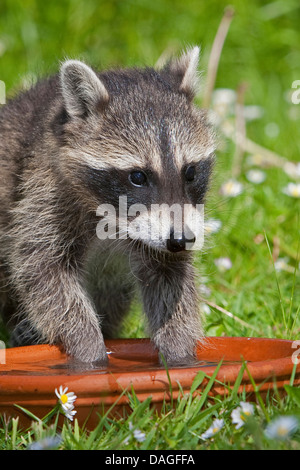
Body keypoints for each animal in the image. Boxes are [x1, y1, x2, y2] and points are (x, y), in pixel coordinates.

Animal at [0, 46, 216, 364]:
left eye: (190, 172)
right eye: (138, 176)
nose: (181, 240)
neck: (115, 220)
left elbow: (169, 279)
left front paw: (180, 354)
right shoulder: (43, 195)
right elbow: (43, 270)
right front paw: (88, 351)